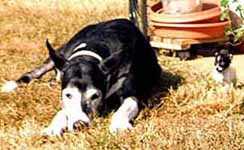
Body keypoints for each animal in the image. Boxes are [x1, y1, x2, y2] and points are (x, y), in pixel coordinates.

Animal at [2, 18, 162, 135]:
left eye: (95, 96)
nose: (80, 125)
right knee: (37, 71)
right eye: (68, 95)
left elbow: (124, 108)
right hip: (59, 53)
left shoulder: (131, 94)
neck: (90, 53)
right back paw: (13, 85)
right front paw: (54, 127)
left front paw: (119, 125)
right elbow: (63, 111)